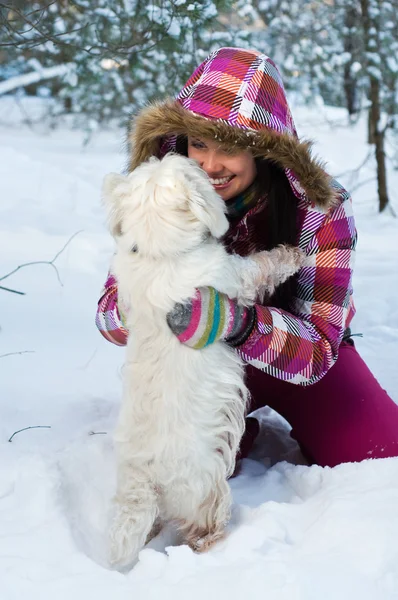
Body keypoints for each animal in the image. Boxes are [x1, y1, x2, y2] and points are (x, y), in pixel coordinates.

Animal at [101, 152, 304, 564]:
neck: (160, 253)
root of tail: (143, 479)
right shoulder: (238, 276)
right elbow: (263, 264)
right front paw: (292, 253)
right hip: (205, 489)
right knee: (203, 528)